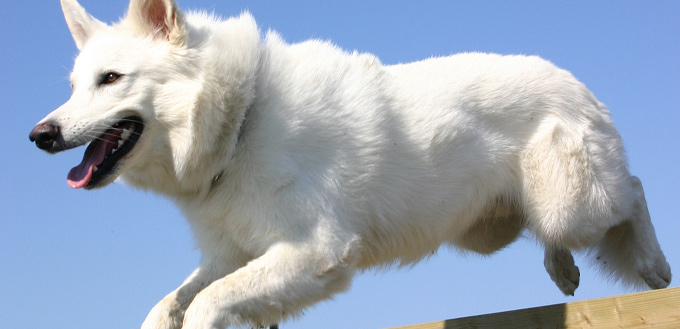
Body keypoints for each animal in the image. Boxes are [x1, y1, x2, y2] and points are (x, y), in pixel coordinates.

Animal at [30, 0, 668, 328]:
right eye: (74, 86)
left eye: (111, 79)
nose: (40, 135)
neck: (244, 118)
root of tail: (575, 81)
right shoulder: (234, 255)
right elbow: (170, 303)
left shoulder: (315, 252)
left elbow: (207, 304)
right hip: (507, 225)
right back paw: (563, 270)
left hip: (573, 204)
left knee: (634, 188)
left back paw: (655, 267)